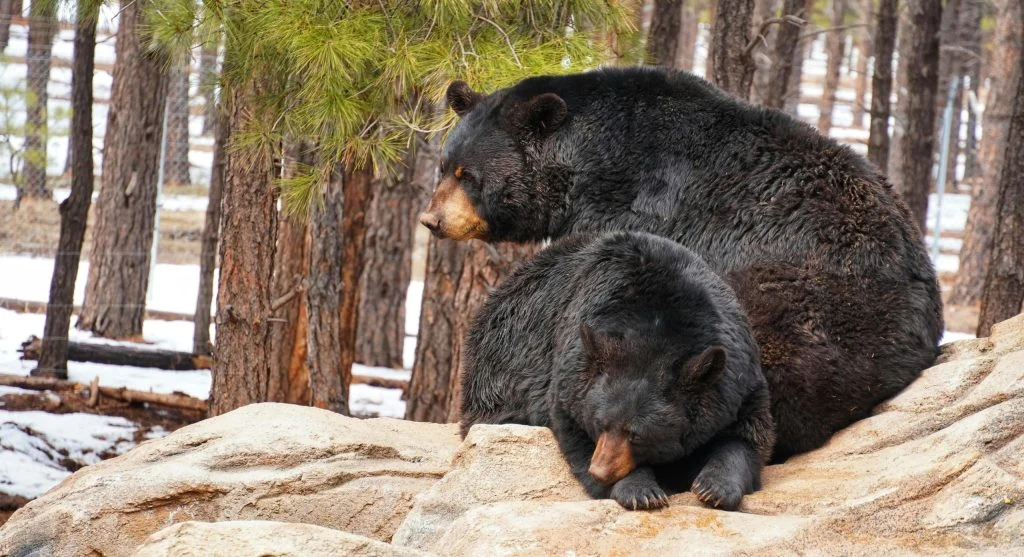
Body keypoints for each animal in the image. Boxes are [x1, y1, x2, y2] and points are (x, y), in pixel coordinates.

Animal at [422, 66, 943, 461]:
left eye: (470, 175)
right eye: (444, 166)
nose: (432, 220)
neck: (588, 162)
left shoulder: (639, 205)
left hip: (808, 305)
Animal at [461, 231, 775, 511]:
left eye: (637, 435)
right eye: (601, 424)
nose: (600, 471)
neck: (657, 328)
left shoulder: (738, 380)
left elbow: (748, 436)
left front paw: (715, 488)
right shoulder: (570, 371)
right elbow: (573, 430)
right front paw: (640, 491)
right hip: (496, 376)